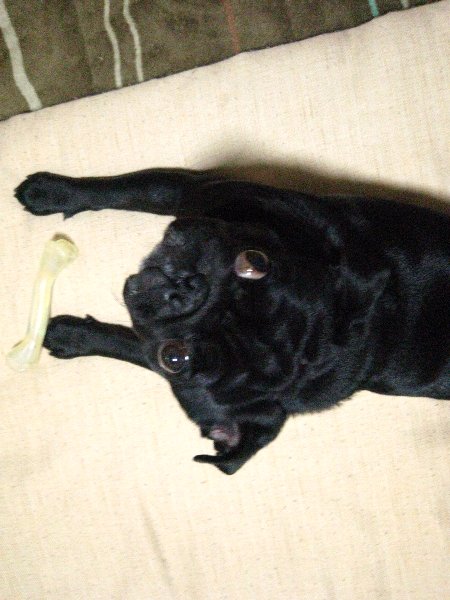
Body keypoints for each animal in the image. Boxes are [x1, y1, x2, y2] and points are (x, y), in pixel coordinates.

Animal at [15, 169, 450, 474]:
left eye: (177, 359)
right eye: (254, 261)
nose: (188, 287)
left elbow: (130, 344)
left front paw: (72, 334)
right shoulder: (198, 191)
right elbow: (131, 189)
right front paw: (52, 192)